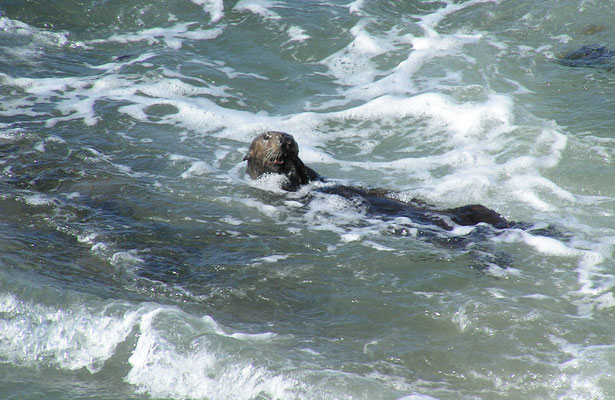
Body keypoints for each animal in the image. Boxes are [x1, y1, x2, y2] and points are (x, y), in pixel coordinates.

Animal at [243, 131, 512, 231]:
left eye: (287, 134)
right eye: (267, 137)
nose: (287, 140)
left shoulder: (314, 177)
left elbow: (310, 174)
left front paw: (297, 159)